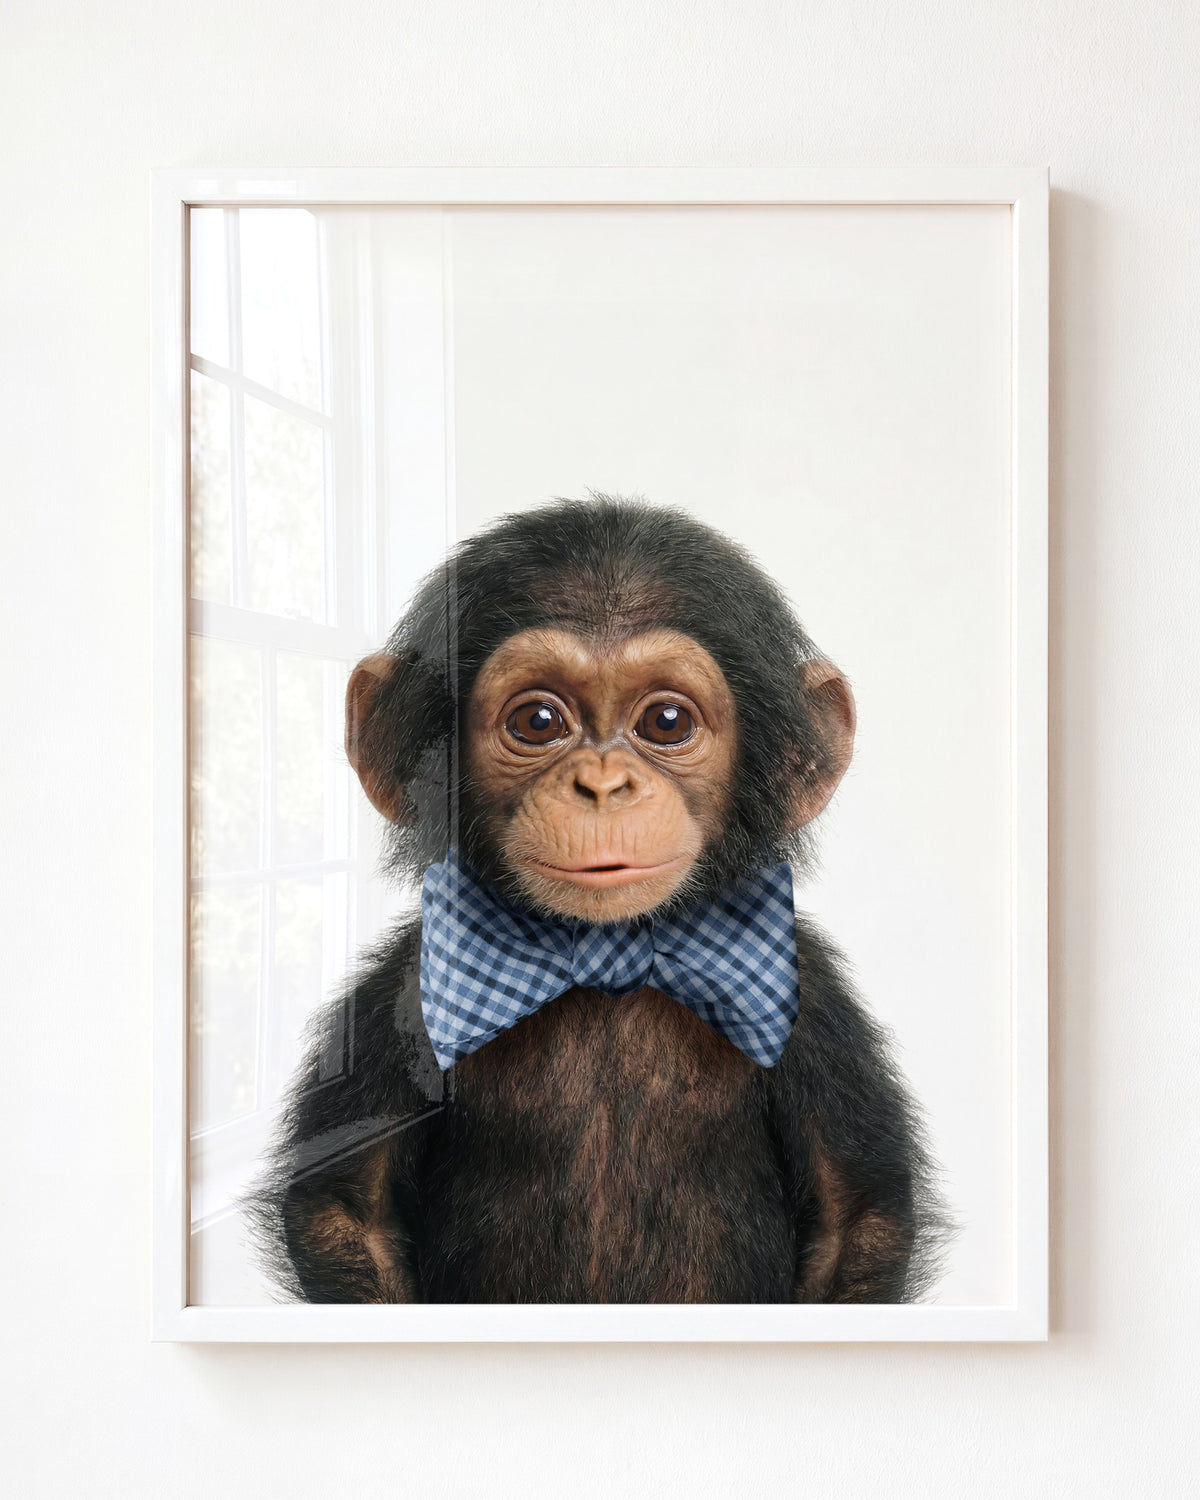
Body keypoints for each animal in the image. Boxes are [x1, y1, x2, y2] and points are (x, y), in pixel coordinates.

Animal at [251, 496, 950, 1303]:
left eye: (666, 722)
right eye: (538, 721)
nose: (603, 784)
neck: (604, 956)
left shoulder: (814, 1004)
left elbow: (855, 1216)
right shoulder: (401, 990)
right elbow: (346, 1209)